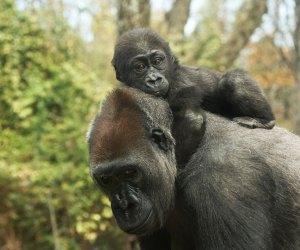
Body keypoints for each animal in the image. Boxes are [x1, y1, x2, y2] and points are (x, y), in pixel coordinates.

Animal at [112, 28, 274, 166]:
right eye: (140, 67)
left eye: (157, 61)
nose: (154, 79)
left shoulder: (180, 84)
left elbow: (191, 118)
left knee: (233, 80)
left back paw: (263, 120)